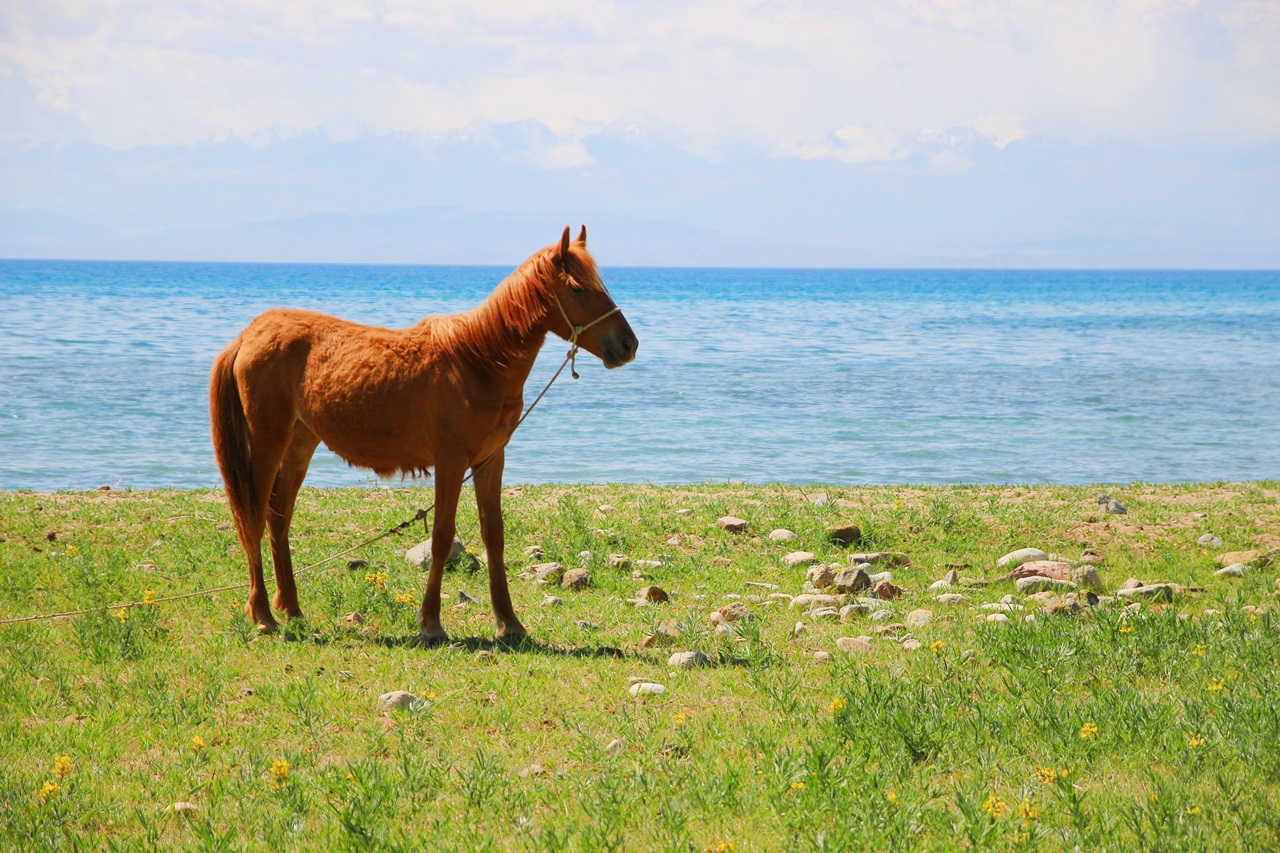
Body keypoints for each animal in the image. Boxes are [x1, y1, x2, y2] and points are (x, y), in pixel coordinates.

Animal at [208, 225, 640, 637]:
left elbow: (494, 535)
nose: (628, 344)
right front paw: (431, 621)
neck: (477, 362)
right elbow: (443, 537)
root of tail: (250, 334)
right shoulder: (450, 462)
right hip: (268, 441)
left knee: (278, 519)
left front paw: (508, 622)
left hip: (300, 442)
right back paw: (263, 614)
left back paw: (293, 609)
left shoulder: (489, 460)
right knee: (253, 516)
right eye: (578, 288)